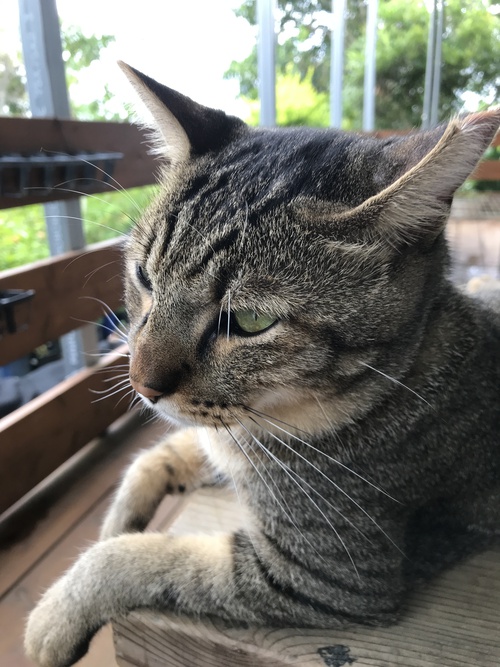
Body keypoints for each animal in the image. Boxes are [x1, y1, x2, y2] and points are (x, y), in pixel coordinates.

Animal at [24, 64, 500, 667]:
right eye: (144, 277)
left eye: (250, 321)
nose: (140, 384)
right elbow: (153, 460)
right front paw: (116, 519)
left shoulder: (325, 575)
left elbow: (141, 557)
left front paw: (57, 614)